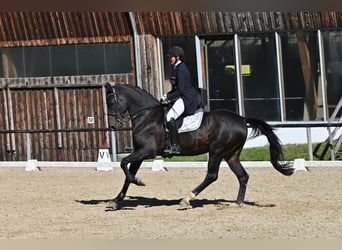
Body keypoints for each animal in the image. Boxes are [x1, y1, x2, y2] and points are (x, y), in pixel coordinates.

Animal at [105, 83, 294, 210]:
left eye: (112, 102)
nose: (112, 126)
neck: (147, 116)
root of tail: (241, 119)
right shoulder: (140, 152)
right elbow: (127, 172)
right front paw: (116, 200)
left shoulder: (147, 151)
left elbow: (123, 164)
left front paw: (138, 182)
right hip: (231, 155)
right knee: (242, 176)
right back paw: (237, 203)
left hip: (217, 151)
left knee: (212, 175)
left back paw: (187, 199)